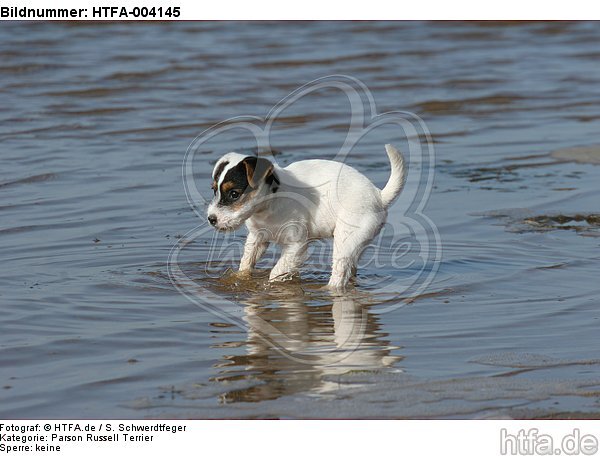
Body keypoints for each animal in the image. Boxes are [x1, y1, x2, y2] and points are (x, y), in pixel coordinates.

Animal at [207, 144, 408, 290]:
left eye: (234, 194)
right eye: (214, 190)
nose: (211, 219)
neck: (272, 201)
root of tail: (378, 196)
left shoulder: (296, 245)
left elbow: (276, 271)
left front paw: (270, 286)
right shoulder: (257, 238)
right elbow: (246, 262)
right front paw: (241, 278)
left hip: (346, 240)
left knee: (339, 273)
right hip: (356, 244)